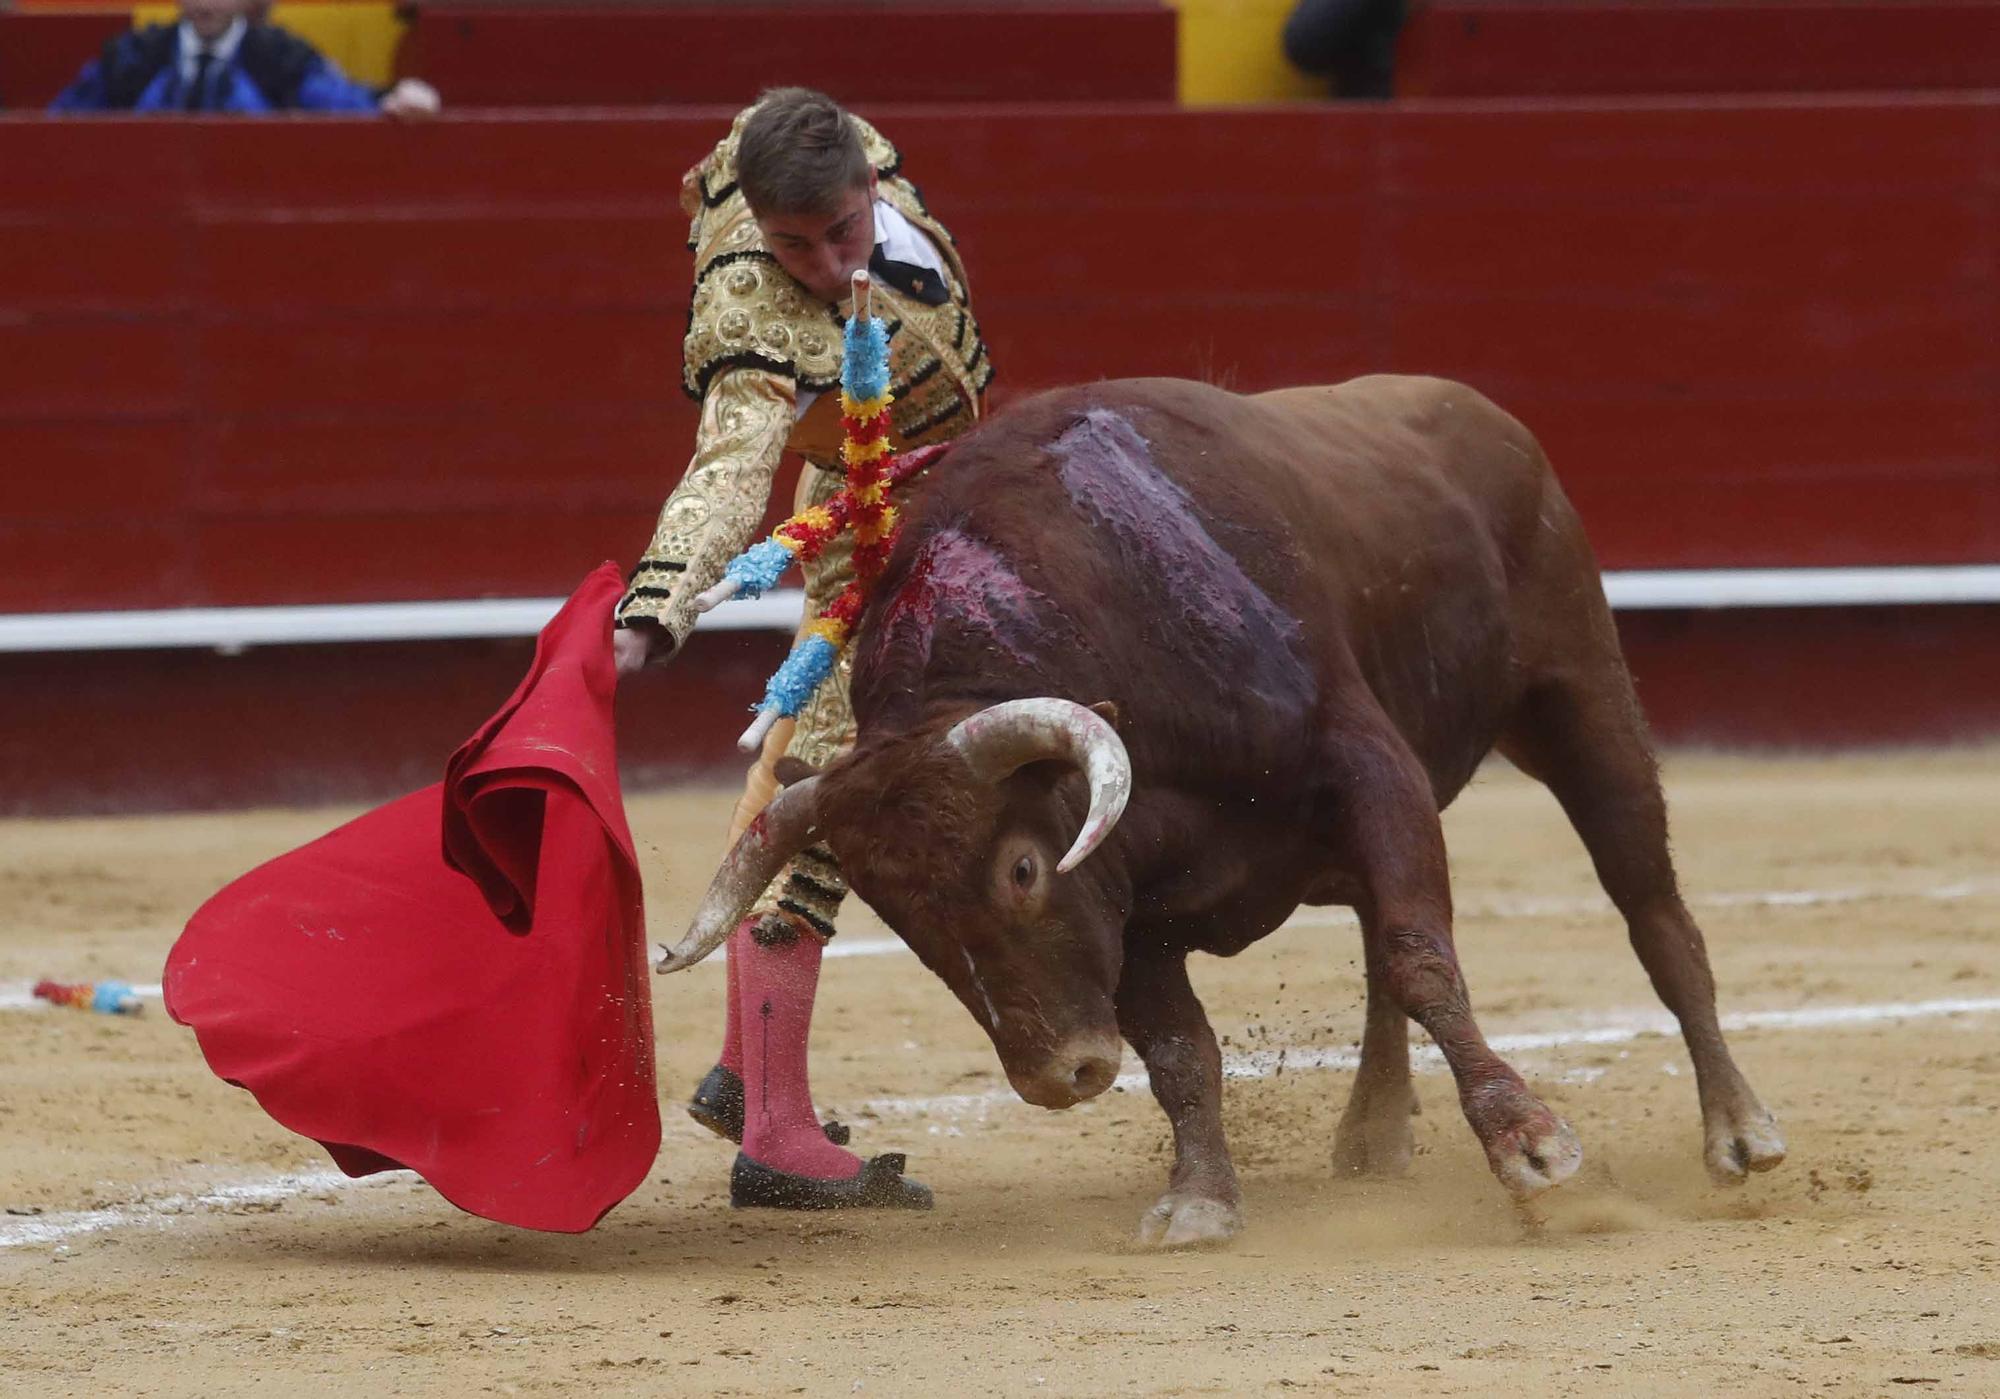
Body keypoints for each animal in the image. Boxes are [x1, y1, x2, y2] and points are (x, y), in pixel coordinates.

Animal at [652, 373, 1784, 1247]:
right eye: (908, 924)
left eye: (1021, 867)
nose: (1060, 1074)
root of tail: (1484, 414)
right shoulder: (1129, 906)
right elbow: (1180, 1048)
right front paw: (1197, 1202)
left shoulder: (1368, 768)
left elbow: (1423, 958)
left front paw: (1529, 1145)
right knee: (1378, 949)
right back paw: (1373, 1133)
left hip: (1580, 695)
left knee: (1650, 913)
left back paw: (1738, 1129)